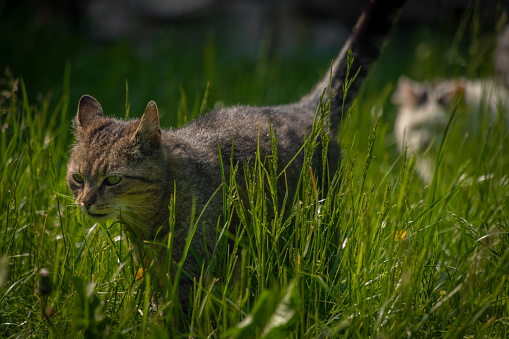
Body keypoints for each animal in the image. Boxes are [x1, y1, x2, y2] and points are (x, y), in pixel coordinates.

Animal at [68, 0, 404, 308]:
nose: (85, 201)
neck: (149, 222)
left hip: (318, 226)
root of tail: (302, 109)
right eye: (77, 178)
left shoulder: (192, 270)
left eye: (113, 179)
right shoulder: (156, 271)